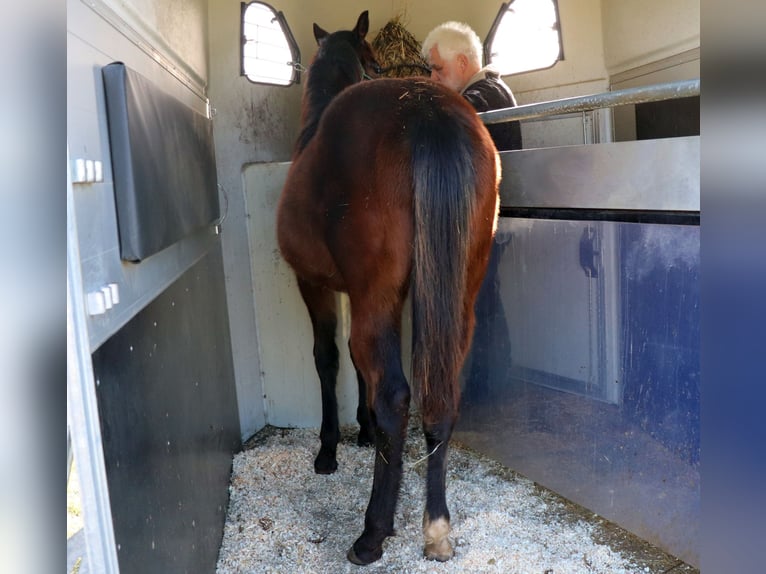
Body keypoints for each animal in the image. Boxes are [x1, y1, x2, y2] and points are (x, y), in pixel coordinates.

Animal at [276, 11, 501, 565]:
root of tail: (424, 109)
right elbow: (360, 369)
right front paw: (361, 432)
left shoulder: (315, 284)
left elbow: (329, 358)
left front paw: (329, 449)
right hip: (455, 296)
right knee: (440, 393)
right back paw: (437, 526)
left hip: (372, 297)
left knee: (396, 395)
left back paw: (372, 532)